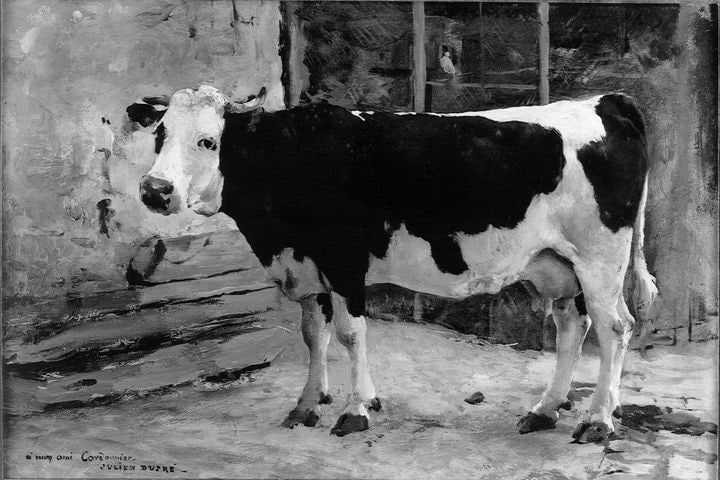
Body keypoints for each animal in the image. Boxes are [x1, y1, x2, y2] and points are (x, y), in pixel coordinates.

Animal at [127, 85, 657, 443]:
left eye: (208, 141)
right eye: (160, 135)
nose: (155, 190)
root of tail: (606, 101)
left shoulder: (344, 262)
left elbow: (349, 334)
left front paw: (356, 409)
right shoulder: (308, 267)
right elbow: (313, 335)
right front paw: (306, 405)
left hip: (600, 259)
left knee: (615, 326)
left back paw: (598, 420)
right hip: (556, 265)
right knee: (571, 324)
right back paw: (546, 410)